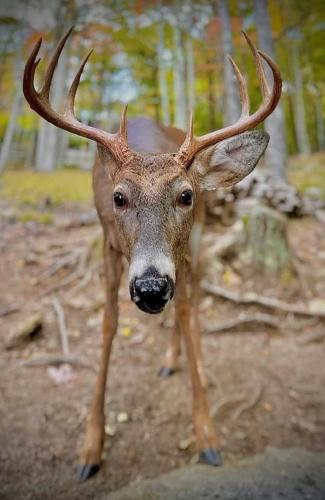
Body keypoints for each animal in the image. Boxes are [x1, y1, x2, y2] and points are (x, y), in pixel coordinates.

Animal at [22, 27, 280, 480]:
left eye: (186, 195)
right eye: (118, 197)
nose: (151, 287)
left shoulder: (185, 246)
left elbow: (187, 313)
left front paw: (207, 436)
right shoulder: (108, 244)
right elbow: (107, 326)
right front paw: (90, 448)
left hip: (197, 242)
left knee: (193, 305)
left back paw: (186, 362)